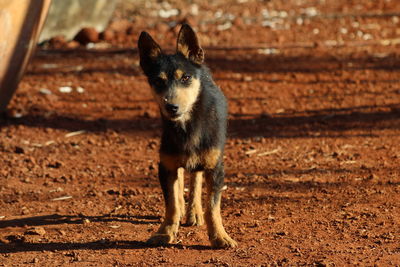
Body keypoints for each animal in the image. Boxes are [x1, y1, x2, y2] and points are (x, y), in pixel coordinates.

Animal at [138, 23, 238, 249]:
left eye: (185, 78)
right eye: (158, 81)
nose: (172, 107)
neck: (186, 127)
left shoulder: (216, 168)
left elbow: (213, 207)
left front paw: (220, 236)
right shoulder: (165, 165)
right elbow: (171, 205)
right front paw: (165, 232)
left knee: (196, 178)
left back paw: (194, 211)